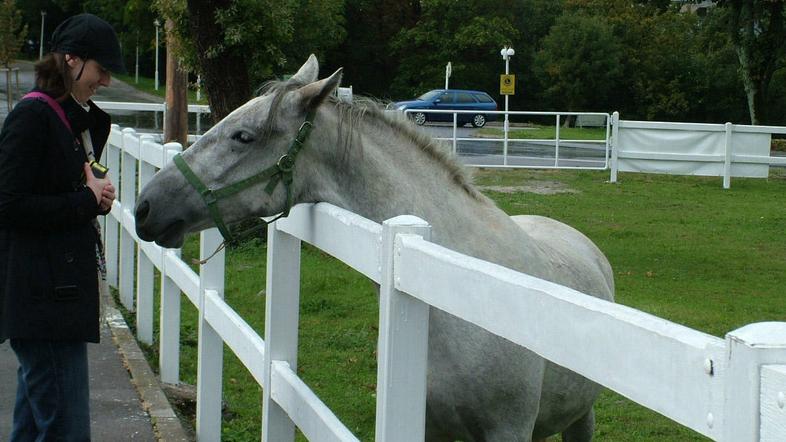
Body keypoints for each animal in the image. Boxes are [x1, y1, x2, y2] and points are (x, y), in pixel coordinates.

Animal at [135, 56, 612, 442]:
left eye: (243, 136)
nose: (145, 207)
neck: (453, 295)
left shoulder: (507, 431)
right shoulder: (429, 428)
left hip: (581, 419)